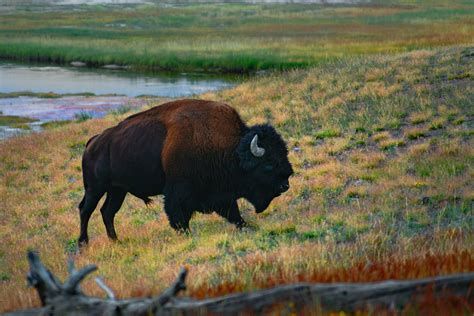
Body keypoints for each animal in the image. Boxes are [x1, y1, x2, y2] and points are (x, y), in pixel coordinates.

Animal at [78, 99, 292, 244]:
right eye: (268, 164)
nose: (285, 184)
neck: (231, 149)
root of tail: (93, 142)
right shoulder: (179, 191)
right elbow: (179, 216)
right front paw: (186, 234)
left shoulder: (221, 194)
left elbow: (233, 213)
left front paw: (246, 225)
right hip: (95, 188)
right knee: (86, 209)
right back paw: (83, 243)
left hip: (117, 190)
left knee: (107, 212)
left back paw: (115, 240)